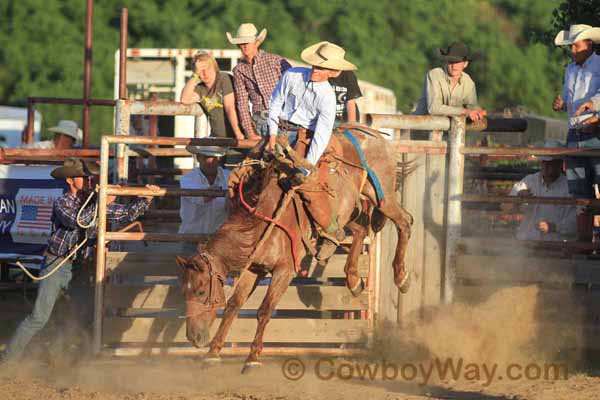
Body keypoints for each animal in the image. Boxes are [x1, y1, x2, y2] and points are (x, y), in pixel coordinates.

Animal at [176, 123, 414, 370]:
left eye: (201, 290)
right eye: (184, 291)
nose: (193, 337)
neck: (259, 223)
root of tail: (373, 134)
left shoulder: (285, 270)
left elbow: (264, 310)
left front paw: (253, 357)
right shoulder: (254, 268)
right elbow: (234, 304)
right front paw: (213, 351)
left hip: (382, 196)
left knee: (405, 221)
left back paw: (401, 277)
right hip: (352, 209)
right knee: (360, 229)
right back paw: (353, 278)